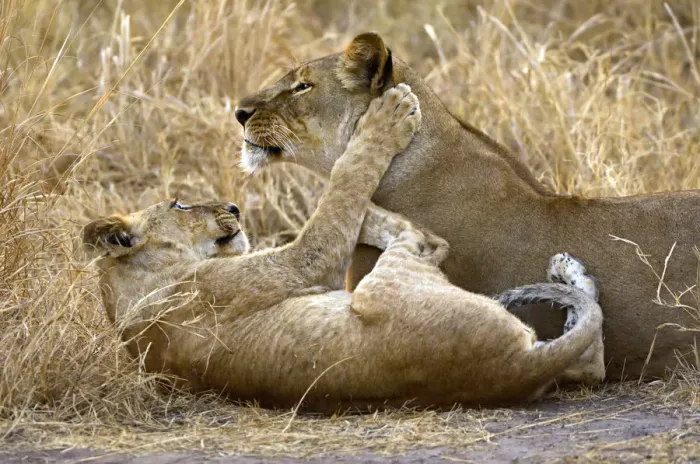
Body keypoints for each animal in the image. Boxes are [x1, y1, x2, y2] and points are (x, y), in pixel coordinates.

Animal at [85, 86, 604, 410]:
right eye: (179, 203)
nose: (233, 205)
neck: (134, 302)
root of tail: (514, 367)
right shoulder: (300, 265)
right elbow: (338, 201)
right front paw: (385, 122)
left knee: (594, 360)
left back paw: (567, 269)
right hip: (381, 286)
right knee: (426, 241)